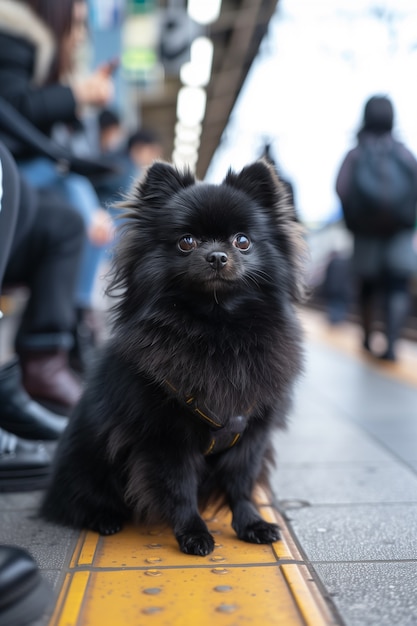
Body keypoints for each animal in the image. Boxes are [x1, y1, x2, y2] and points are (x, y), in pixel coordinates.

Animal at [39, 158, 306, 552]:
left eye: (242, 241)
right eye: (186, 242)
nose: (217, 256)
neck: (218, 330)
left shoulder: (252, 435)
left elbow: (241, 485)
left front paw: (251, 524)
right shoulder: (165, 438)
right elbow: (179, 489)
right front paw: (193, 533)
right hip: (86, 462)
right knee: (78, 501)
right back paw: (103, 518)